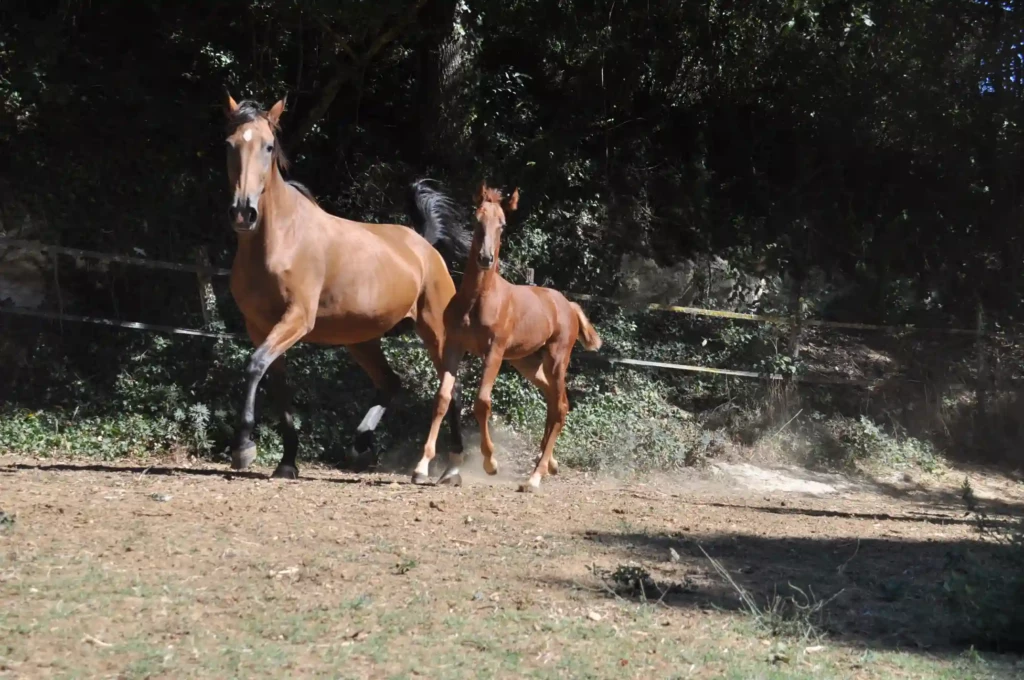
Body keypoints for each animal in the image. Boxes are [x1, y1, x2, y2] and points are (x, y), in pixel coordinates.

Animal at [221, 93, 469, 482]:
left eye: (268, 146)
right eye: (230, 144)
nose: (243, 213)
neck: (278, 240)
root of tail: (424, 246)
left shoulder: (297, 319)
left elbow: (254, 365)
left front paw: (243, 447)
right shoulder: (259, 326)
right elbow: (275, 384)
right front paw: (286, 462)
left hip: (434, 329)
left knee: (451, 385)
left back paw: (449, 467)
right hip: (361, 338)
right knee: (391, 383)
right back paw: (360, 445)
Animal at [413, 181, 603, 492]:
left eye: (502, 223)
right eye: (476, 219)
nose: (485, 258)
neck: (478, 300)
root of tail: (569, 306)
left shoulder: (495, 351)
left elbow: (482, 402)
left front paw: (491, 462)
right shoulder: (454, 345)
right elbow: (442, 397)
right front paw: (421, 466)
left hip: (556, 359)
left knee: (561, 407)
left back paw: (534, 477)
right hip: (527, 362)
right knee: (554, 402)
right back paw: (549, 464)